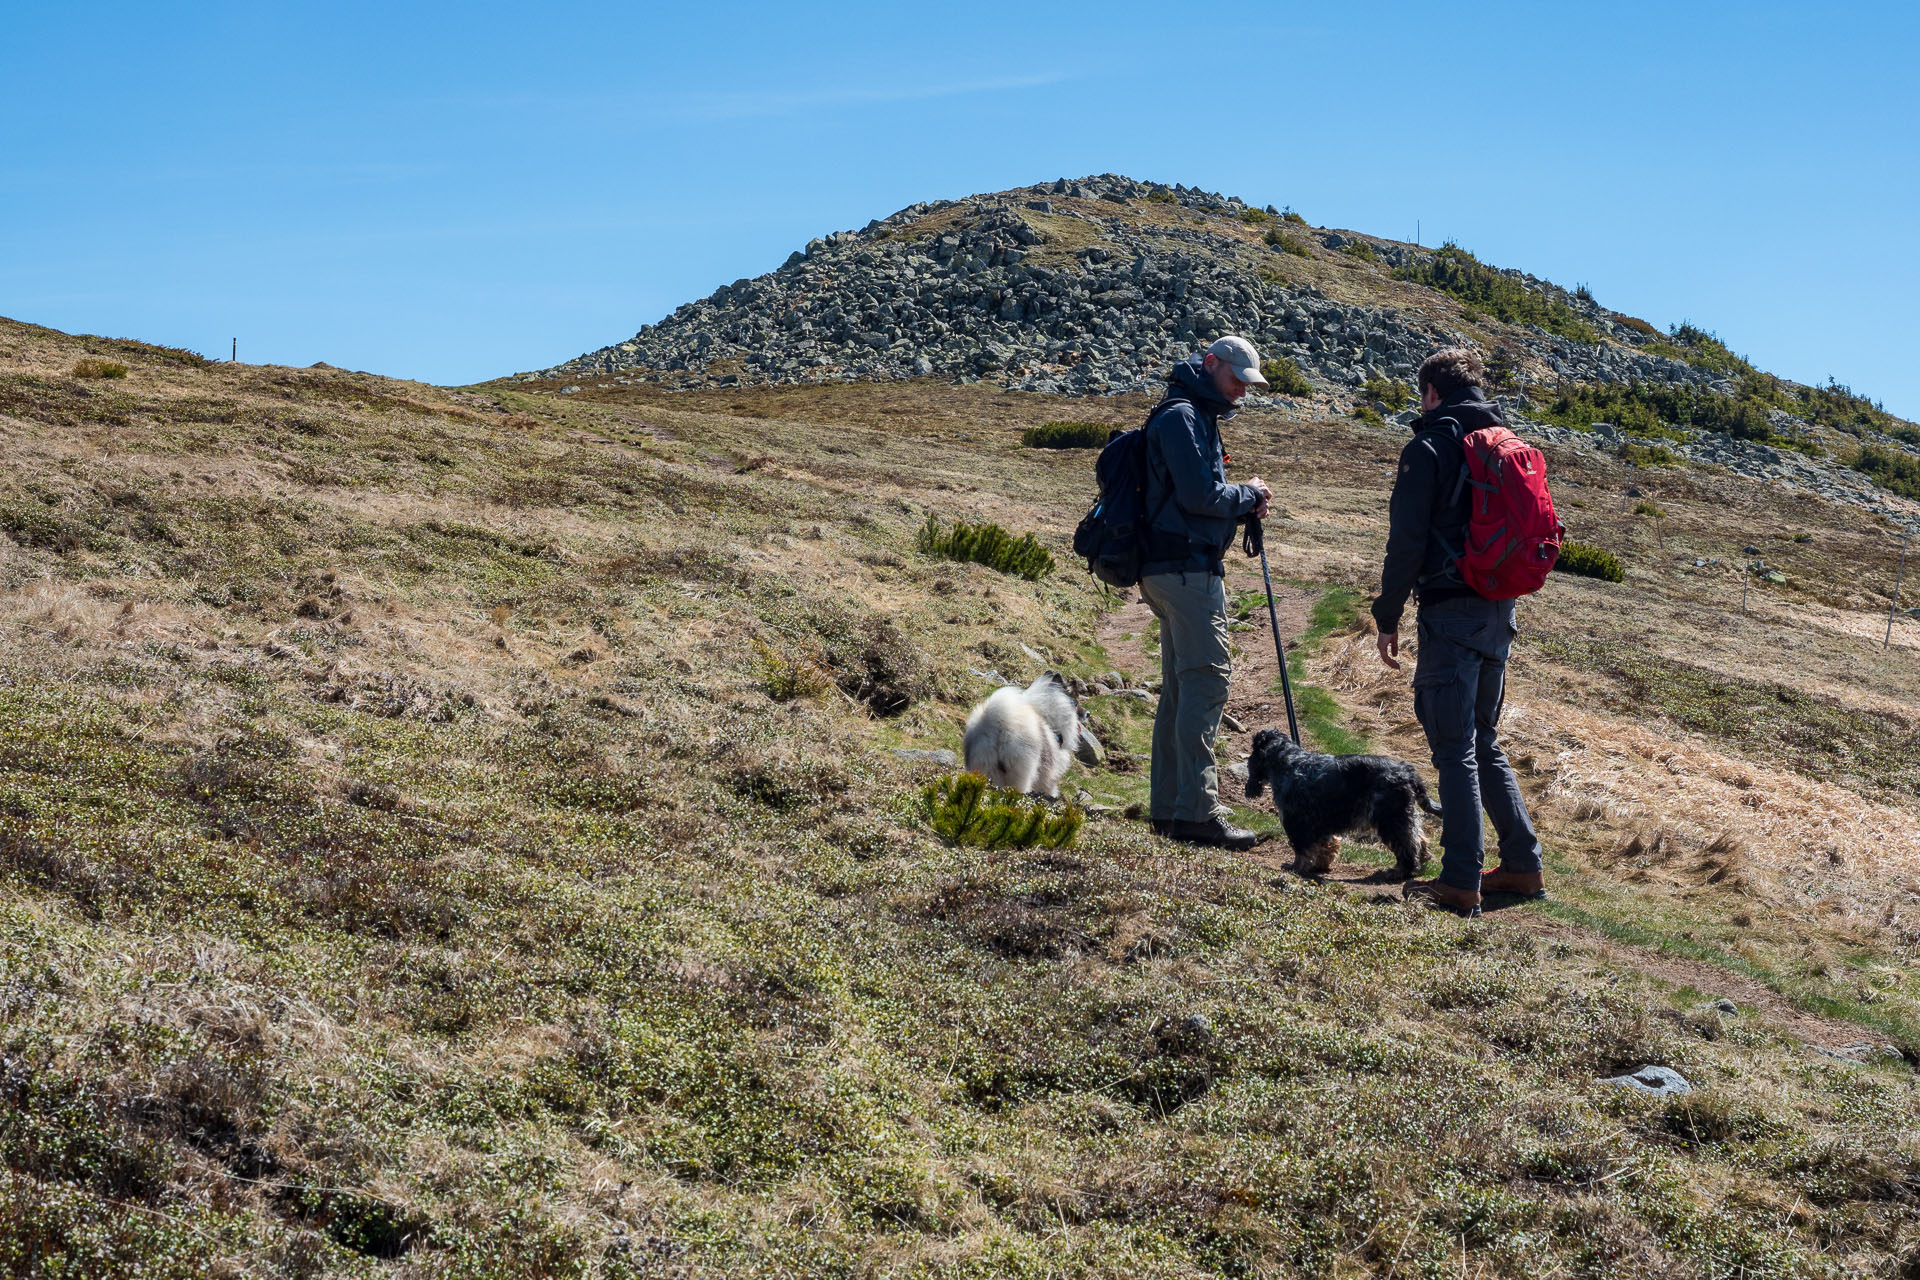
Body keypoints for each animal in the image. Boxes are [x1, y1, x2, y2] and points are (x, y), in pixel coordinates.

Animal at [960, 675, 1098, 794]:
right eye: (1075, 703)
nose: (1088, 714)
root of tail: (997, 724)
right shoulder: (1049, 775)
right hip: (1022, 772)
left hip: (985, 767)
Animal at [1244, 729, 1443, 882]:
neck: (1288, 760)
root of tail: (1408, 773)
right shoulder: (1320, 822)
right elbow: (1326, 845)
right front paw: (1320, 865)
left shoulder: (1297, 822)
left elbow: (1302, 849)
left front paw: (1295, 867)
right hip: (1402, 815)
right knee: (1418, 838)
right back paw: (1421, 861)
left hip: (1390, 818)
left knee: (1407, 845)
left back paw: (1399, 871)